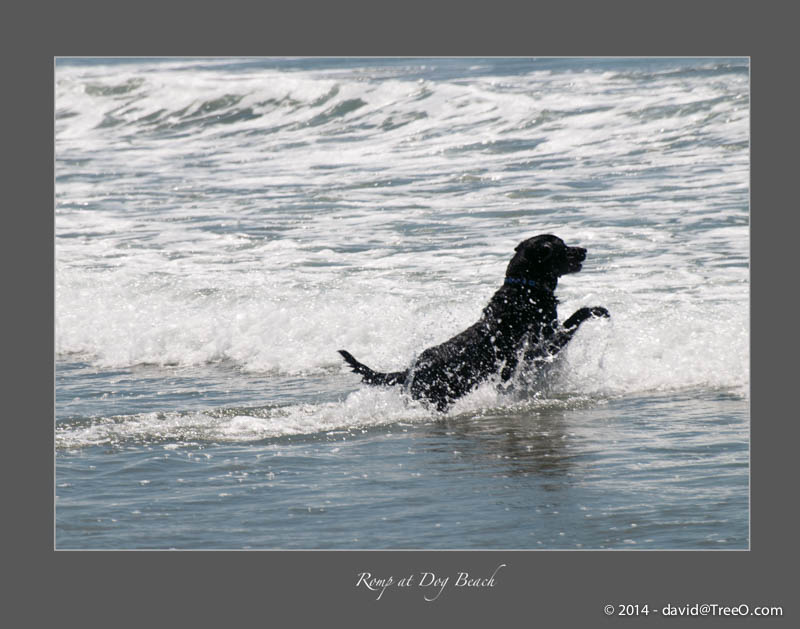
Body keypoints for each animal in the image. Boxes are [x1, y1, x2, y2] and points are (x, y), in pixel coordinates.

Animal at [336, 234, 608, 412]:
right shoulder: (542, 347)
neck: (524, 289)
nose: (584, 250)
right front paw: (596, 310)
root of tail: (409, 369)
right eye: (562, 247)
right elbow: (576, 317)